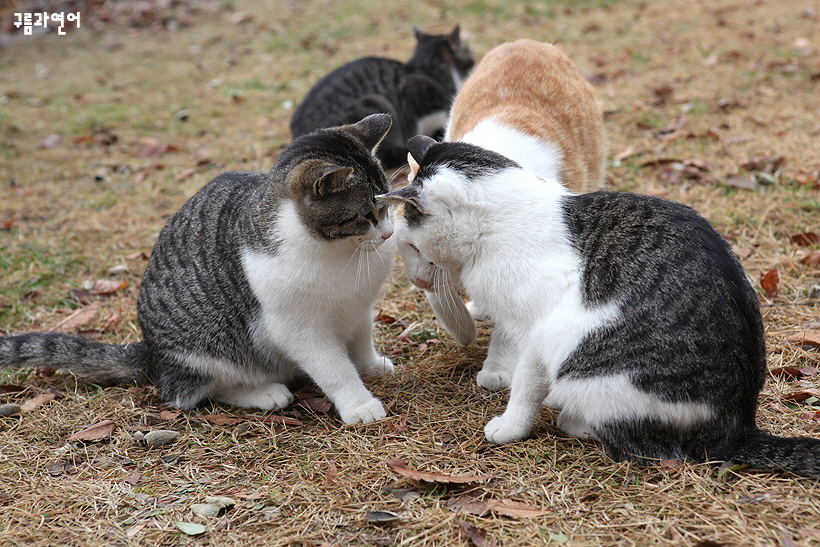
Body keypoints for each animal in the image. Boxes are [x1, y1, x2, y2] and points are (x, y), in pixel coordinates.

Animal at [0, 113, 398, 426]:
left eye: (387, 206)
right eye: (366, 214)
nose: (389, 233)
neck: (341, 253)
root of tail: (151, 355)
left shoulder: (358, 307)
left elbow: (361, 341)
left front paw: (371, 365)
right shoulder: (299, 329)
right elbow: (335, 369)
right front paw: (358, 403)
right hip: (204, 354)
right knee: (191, 393)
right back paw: (264, 393)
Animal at [378, 134, 820, 480]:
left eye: (412, 245)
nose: (418, 280)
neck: (502, 220)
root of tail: (738, 425)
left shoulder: (537, 333)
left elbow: (524, 385)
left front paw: (509, 426)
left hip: (592, 367)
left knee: (644, 443)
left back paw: (573, 416)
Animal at [394, 37, 604, 386]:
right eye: (409, 247)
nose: (419, 280)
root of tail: (528, 42)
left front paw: (496, 368)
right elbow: (441, 297)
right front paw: (462, 327)